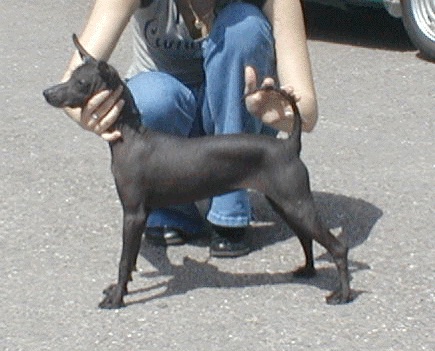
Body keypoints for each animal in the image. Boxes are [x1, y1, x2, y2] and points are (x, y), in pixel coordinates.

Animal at [42, 34, 352, 310]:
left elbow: (124, 260)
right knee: (307, 238)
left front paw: (117, 298)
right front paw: (120, 289)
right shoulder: (138, 215)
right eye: (71, 75)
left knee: (338, 247)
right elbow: (130, 261)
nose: (47, 93)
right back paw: (308, 271)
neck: (131, 136)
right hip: (286, 204)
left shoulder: (133, 214)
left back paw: (343, 295)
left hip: (296, 203)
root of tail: (290, 144)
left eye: (81, 83)